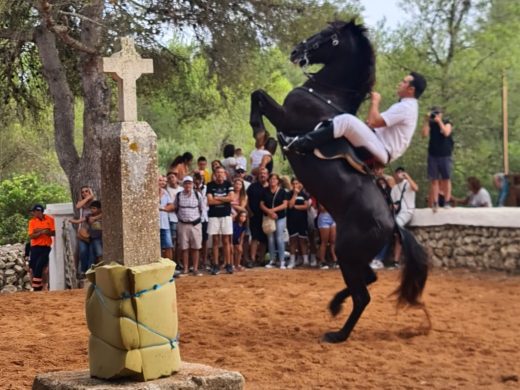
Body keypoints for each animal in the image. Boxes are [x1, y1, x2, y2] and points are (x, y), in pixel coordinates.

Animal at [250, 20, 428, 344]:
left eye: (327, 36)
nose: (296, 51)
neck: (326, 95)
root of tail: (392, 223)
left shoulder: (286, 116)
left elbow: (258, 95)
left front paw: (260, 131)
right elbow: (258, 96)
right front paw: (263, 139)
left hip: (345, 251)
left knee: (363, 295)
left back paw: (338, 334)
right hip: (353, 256)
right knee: (369, 279)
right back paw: (334, 305)